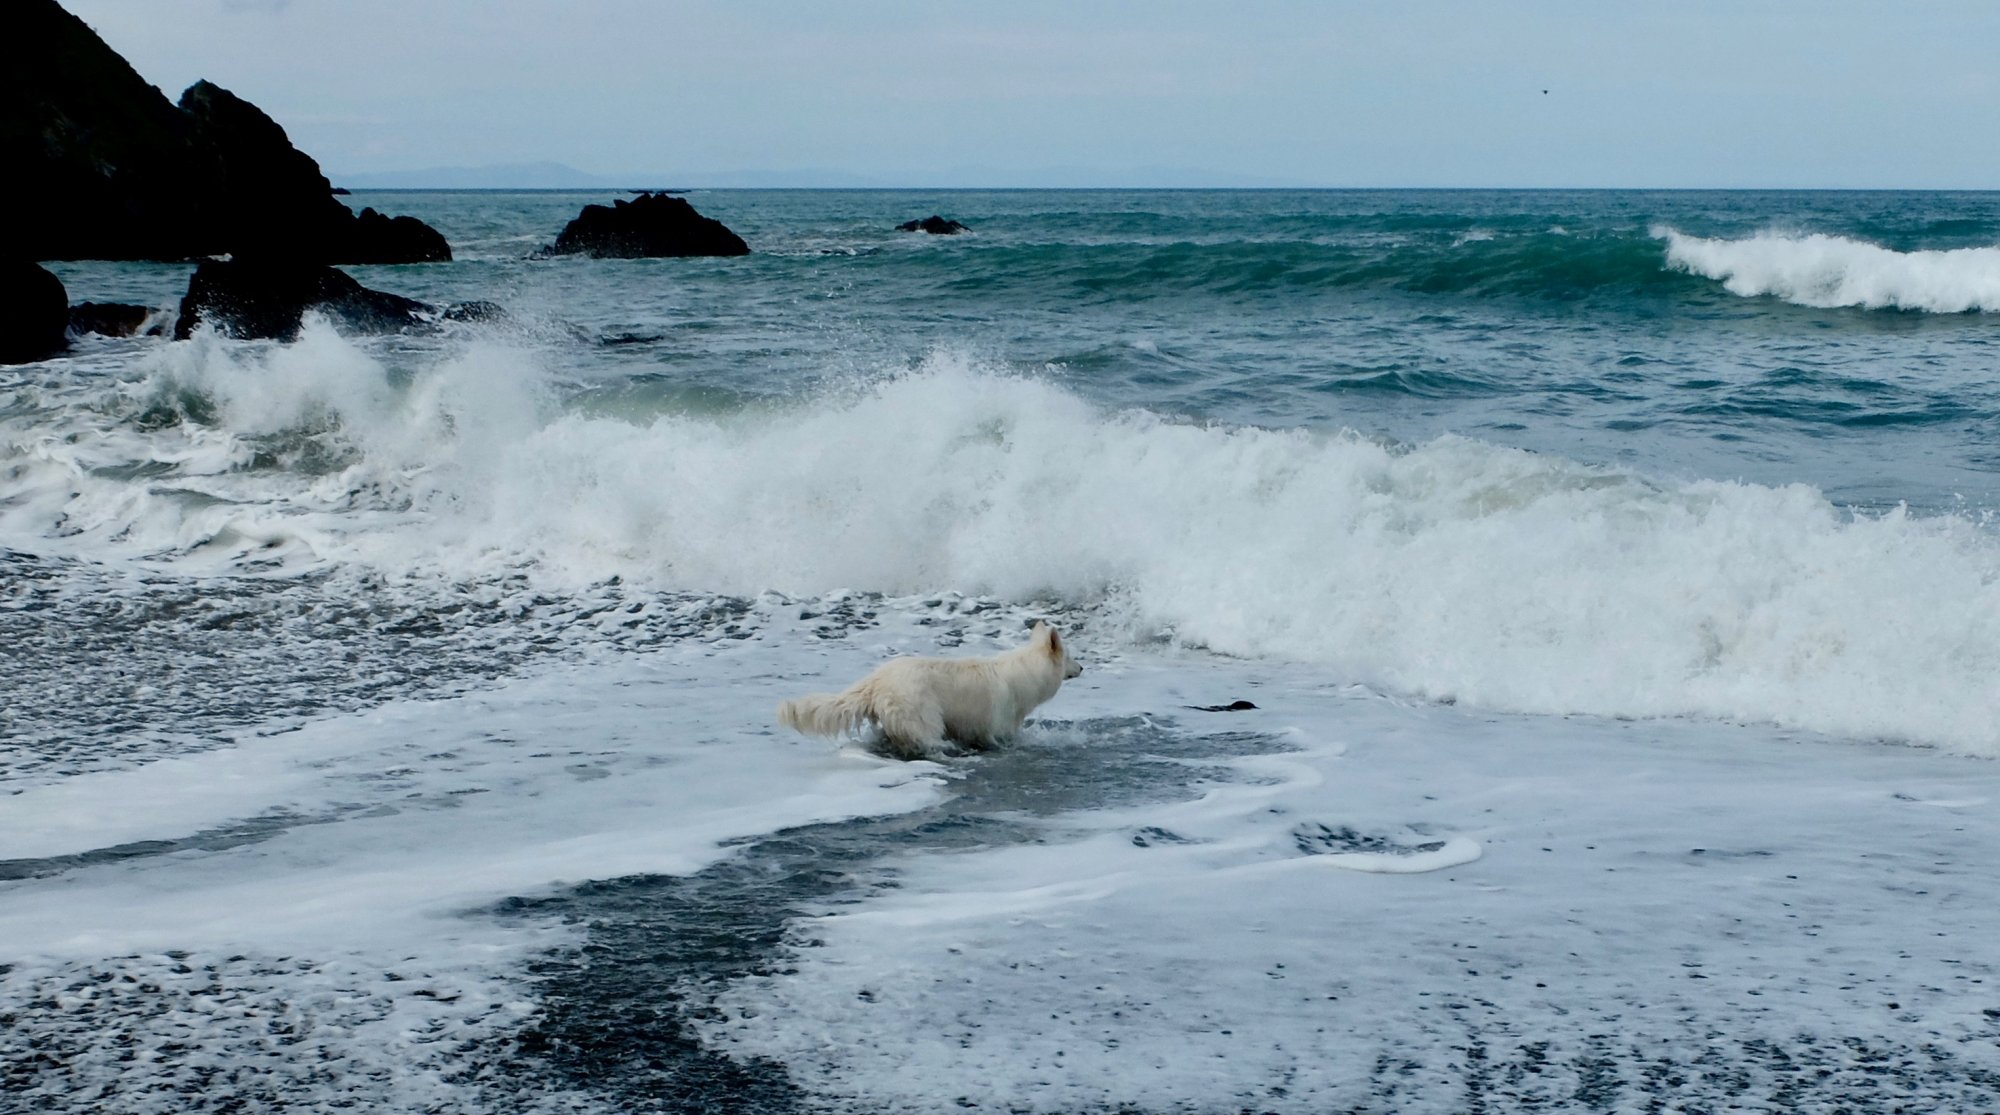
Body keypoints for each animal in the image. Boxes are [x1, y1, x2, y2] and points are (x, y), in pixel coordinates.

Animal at [776, 623, 1088, 763]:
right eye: (1070, 656)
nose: (1083, 667)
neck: (1026, 672)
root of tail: (877, 679)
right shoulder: (992, 725)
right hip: (921, 712)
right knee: (927, 739)